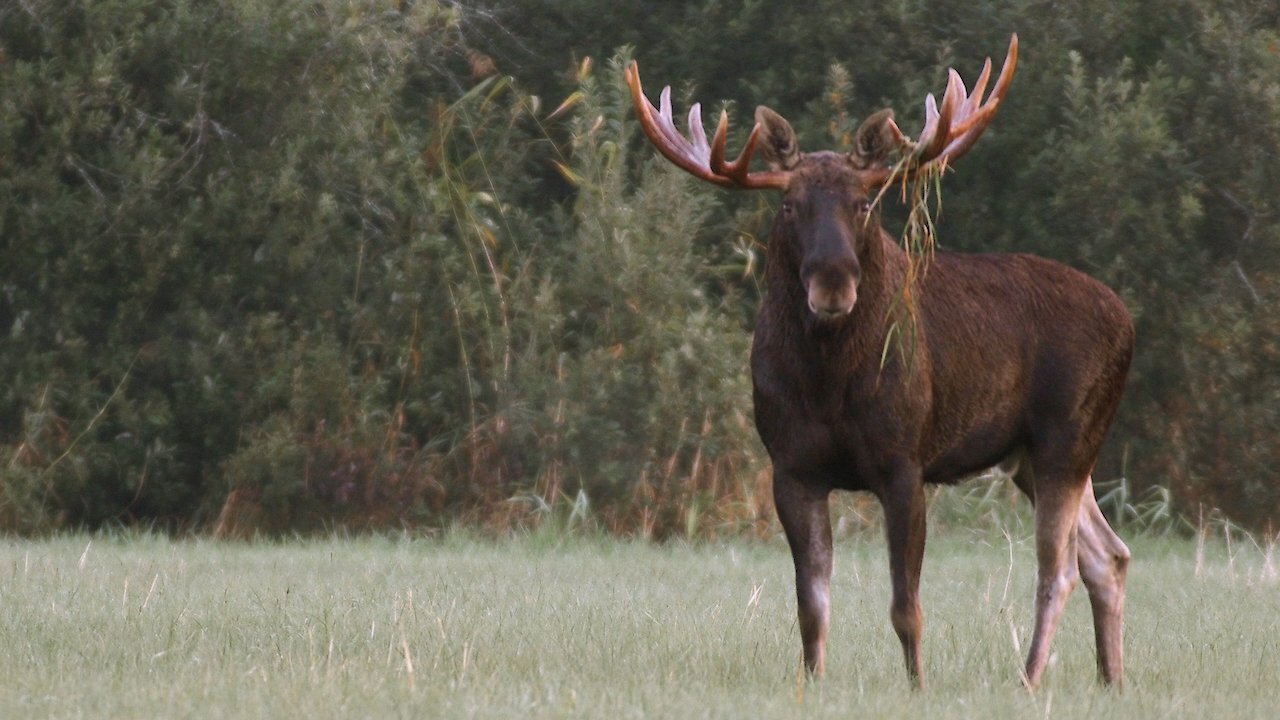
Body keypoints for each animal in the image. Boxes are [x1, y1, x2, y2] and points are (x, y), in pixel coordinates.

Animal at [624, 34, 1134, 691]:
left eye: (865, 202)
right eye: (788, 205)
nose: (833, 281)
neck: (827, 385)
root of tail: (1128, 321)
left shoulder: (904, 460)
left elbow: (905, 606)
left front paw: (918, 686)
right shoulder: (791, 468)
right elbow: (811, 606)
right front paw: (811, 685)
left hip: (1067, 435)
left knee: (1060, 568)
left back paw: (1030, 678)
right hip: (1031, 454)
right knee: (1107, 554)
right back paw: (1110, 679)